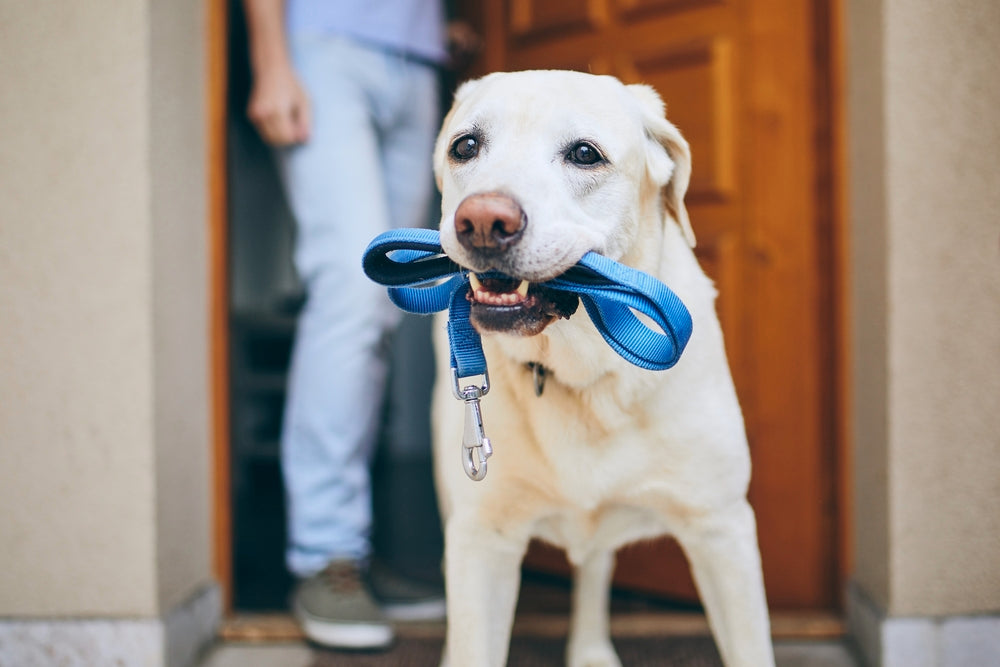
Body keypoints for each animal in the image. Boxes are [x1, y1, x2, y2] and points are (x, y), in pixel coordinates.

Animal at [430, 70, 772, 664]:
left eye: (585, 154)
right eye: (465, 146)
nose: (482, 220)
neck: (585, 373)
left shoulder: (722, 528)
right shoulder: (482, 537)